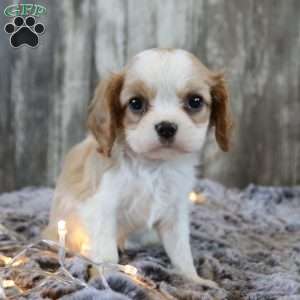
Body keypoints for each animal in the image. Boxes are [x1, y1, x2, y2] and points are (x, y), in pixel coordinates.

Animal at [44, 49, 231, 288]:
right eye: (136, 103)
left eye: (195, 101)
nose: (166, 127)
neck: (154, 166)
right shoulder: (102, 209)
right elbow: (107, 254)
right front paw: (107, 279)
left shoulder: (175, 213)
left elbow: (181, 251)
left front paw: (194, 279)